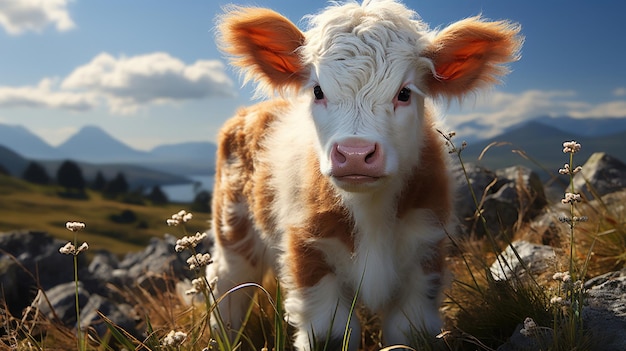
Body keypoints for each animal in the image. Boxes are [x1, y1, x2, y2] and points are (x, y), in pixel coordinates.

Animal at [207, 1, 520, 350]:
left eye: (404, 93)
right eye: (318, 91)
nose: (355, 153)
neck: (370, 214)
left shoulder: (426, 253)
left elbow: (407, 333)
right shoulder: (308, 252)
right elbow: (329, 334)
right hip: (232, 230)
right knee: (229, 287)